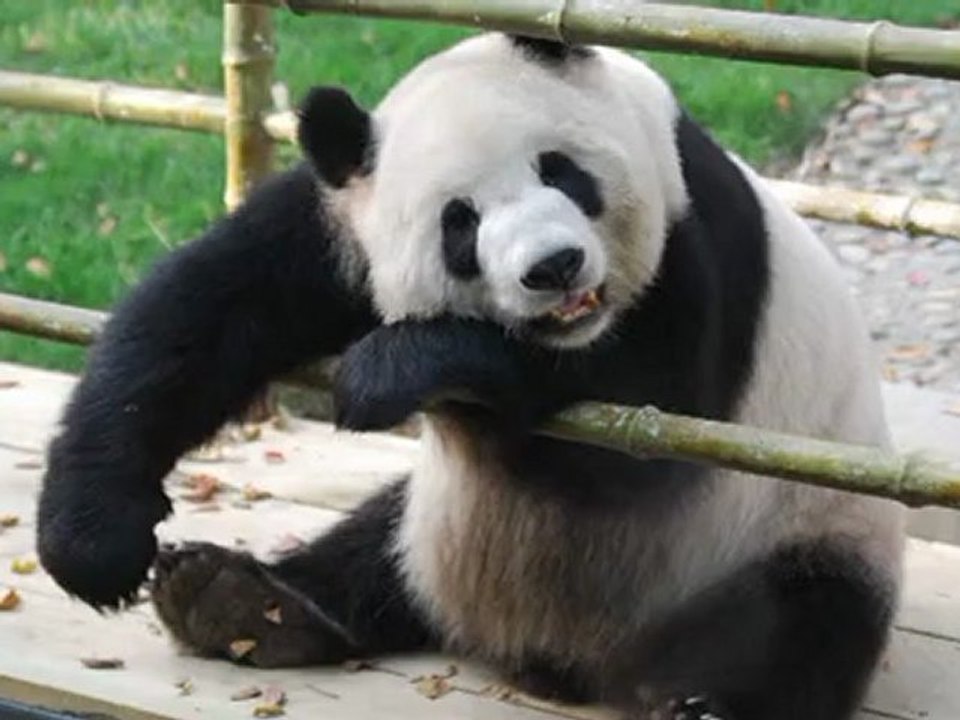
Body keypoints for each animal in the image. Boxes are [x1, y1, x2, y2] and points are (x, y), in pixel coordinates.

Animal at [37, 34, 904, 720]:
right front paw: (95, 542)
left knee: (795, 629)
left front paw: (391, 369)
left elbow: (656, 425)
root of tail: (551, 660)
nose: (555, 267)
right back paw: (237, 601)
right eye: (461, 222)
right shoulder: (343, 219)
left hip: (797, 527)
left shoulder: (697, 222)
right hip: (434, 524)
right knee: (370, 547)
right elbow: (205, 313)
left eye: (562, 172)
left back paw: (703, 705)